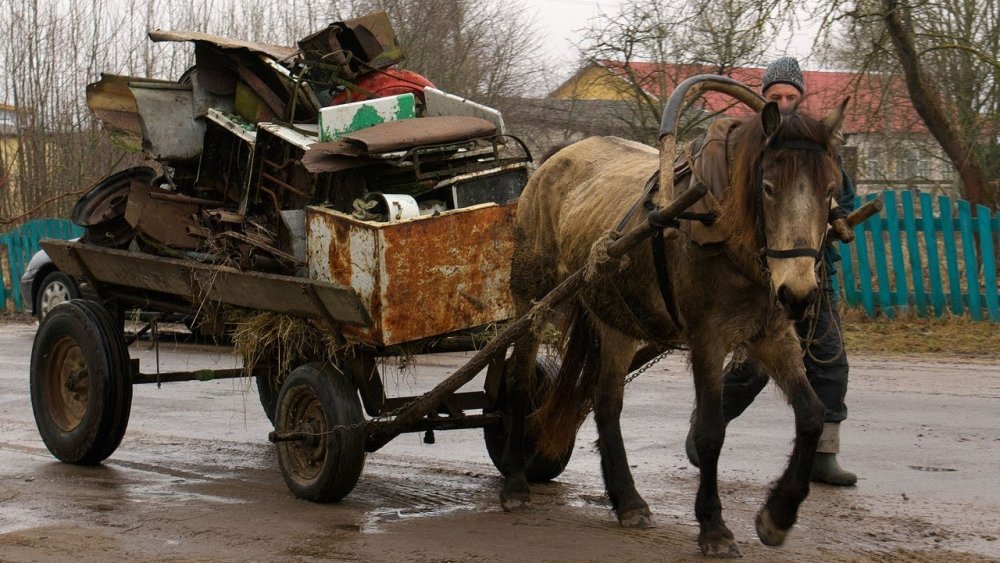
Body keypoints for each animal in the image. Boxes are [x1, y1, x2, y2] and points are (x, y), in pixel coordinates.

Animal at [504, 99, 848, 556]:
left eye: (829, 190)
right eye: (769, 187)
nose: (799, 293)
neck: (722, 224)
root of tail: (552, 161)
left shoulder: (773, 337)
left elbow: (812, 414)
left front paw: (778, 515)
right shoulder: (707, 339)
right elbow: (710, 431)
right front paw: (714, 527)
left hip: (614, 320)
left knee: (606, 402)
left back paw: (628, 500)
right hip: (533, 301)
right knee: (519, 383)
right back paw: (514, 483)